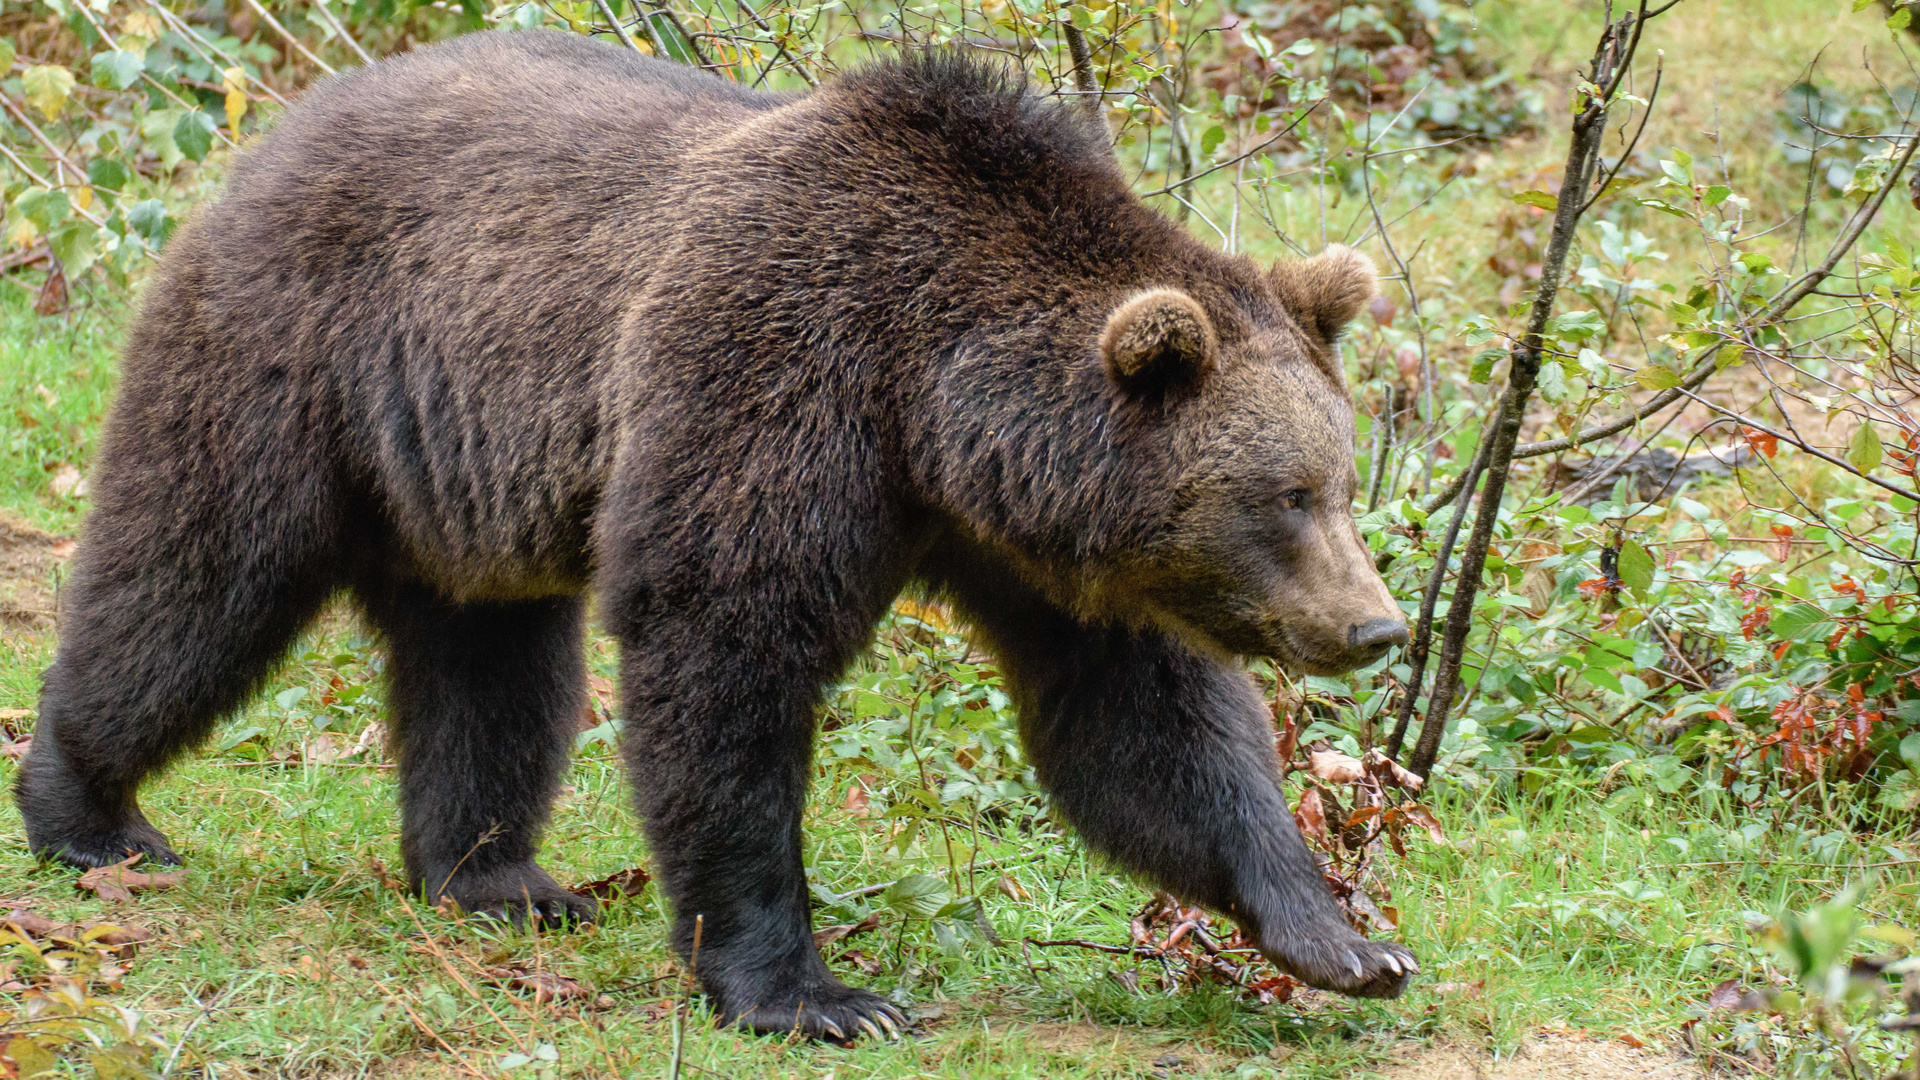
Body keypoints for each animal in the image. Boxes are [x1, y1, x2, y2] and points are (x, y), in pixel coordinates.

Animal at [15, 31, 1420, 1037]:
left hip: (465, 474)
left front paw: (1346, 941)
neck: (934, 403)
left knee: (491, 665)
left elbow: (1144, 728)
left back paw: (496, 878)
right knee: (192, 577)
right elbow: (724, 655)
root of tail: (275, 136)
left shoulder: (1033, 550)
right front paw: (816, 994)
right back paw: (89, 814)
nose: (1376, 627)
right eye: (1286, 497)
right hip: (295, 361)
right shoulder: (773, 376)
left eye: (1343, 481)